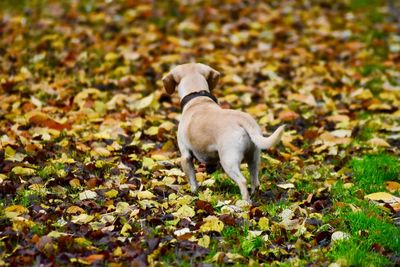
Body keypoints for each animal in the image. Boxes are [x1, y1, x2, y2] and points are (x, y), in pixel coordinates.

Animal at [162, 62, 284, 203]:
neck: (198, 100)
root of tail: (242, 120)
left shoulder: (185, 156)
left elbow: (192, 180)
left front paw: (194, 193)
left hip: (228, 161)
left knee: (242, 181)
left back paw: (244, 203)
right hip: (253, 158)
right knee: (255, 182)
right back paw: (254, 196)